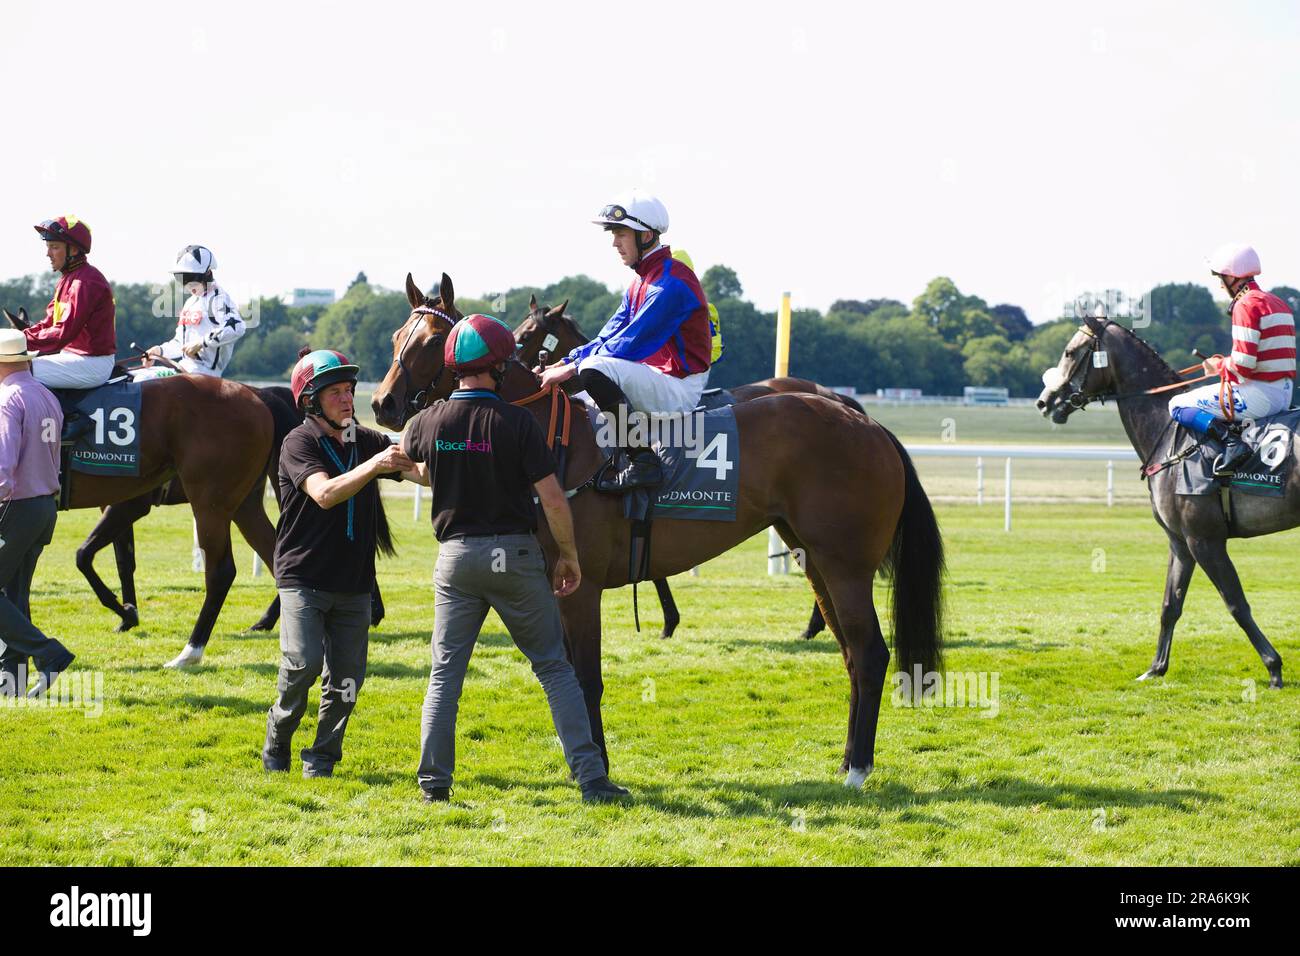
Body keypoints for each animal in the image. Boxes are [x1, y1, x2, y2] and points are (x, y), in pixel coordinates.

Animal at [1034, 314, 1289, 686]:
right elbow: (1171, 605)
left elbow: (1236, 603)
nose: (1044, 401)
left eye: (1069, 352)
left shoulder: (1205, 540)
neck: (1172, 436)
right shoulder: (1180, 542)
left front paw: (1273, 667)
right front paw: (1156, 668)